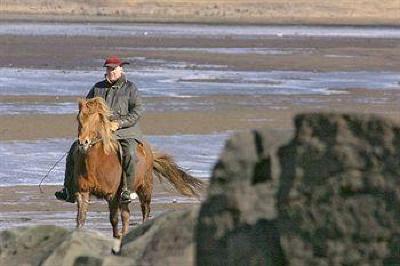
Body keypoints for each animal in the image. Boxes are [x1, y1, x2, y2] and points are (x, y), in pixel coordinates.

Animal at [74, 98, 205, 243]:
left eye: (96, 119)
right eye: (79, 118)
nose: (83, 143)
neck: (97, 163)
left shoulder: (113, 196)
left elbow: (114, 219)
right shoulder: (83, 192)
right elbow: (81, 219)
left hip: (145, 189)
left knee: (145, 211)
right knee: (126, 215)